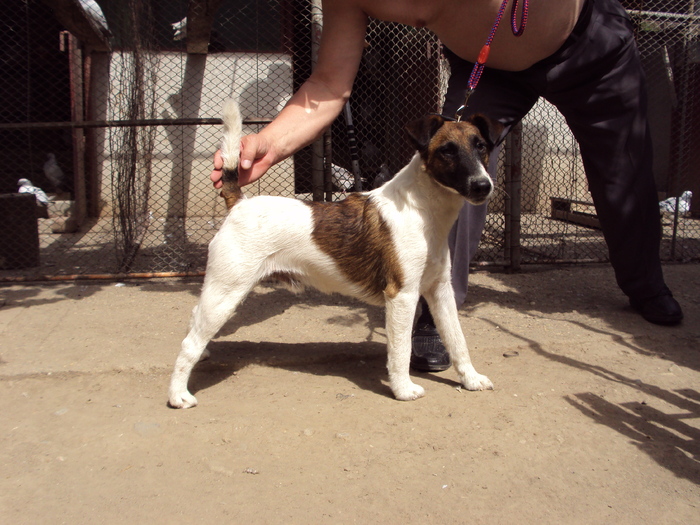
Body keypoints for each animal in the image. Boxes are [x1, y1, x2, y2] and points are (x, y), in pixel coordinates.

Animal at [167, 99, 500, 410]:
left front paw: (471, 379)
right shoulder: (402, 296)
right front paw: (403, 389)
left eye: (481, 146)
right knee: (188, 344)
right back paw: (178, 395)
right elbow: (401, 349)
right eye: (447, 151)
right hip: (227, 292)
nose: (482, 186)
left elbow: (457, 340)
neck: (423, 210)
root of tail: (240, 203)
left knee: (195, 321)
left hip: (220, 292)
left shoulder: (439, 291)